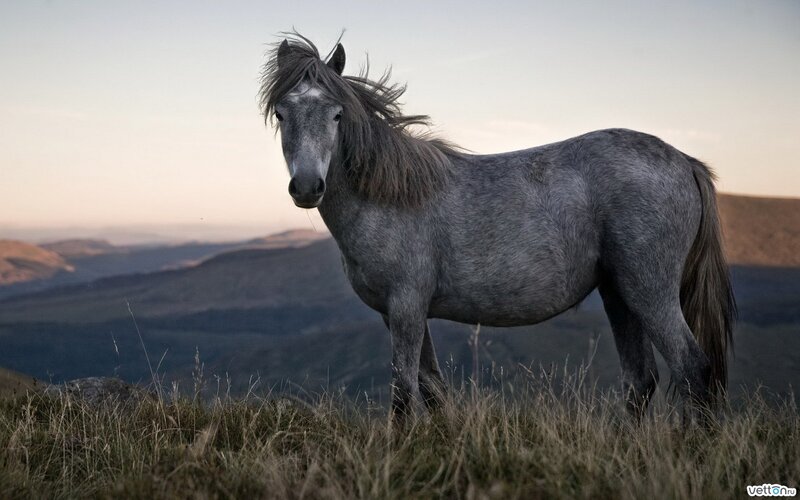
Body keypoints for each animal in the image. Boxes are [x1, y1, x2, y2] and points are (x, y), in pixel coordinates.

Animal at [258, 34, 736, 421]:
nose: (307, 186)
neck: (390, 196)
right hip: (619, 294)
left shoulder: (407, 306)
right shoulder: (397, 313)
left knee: (693, 368)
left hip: (650, 292)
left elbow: (404, 394)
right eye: (281, 113)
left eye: (336, 114)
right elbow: (432, 390)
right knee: (641, 381)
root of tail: (685, 162)